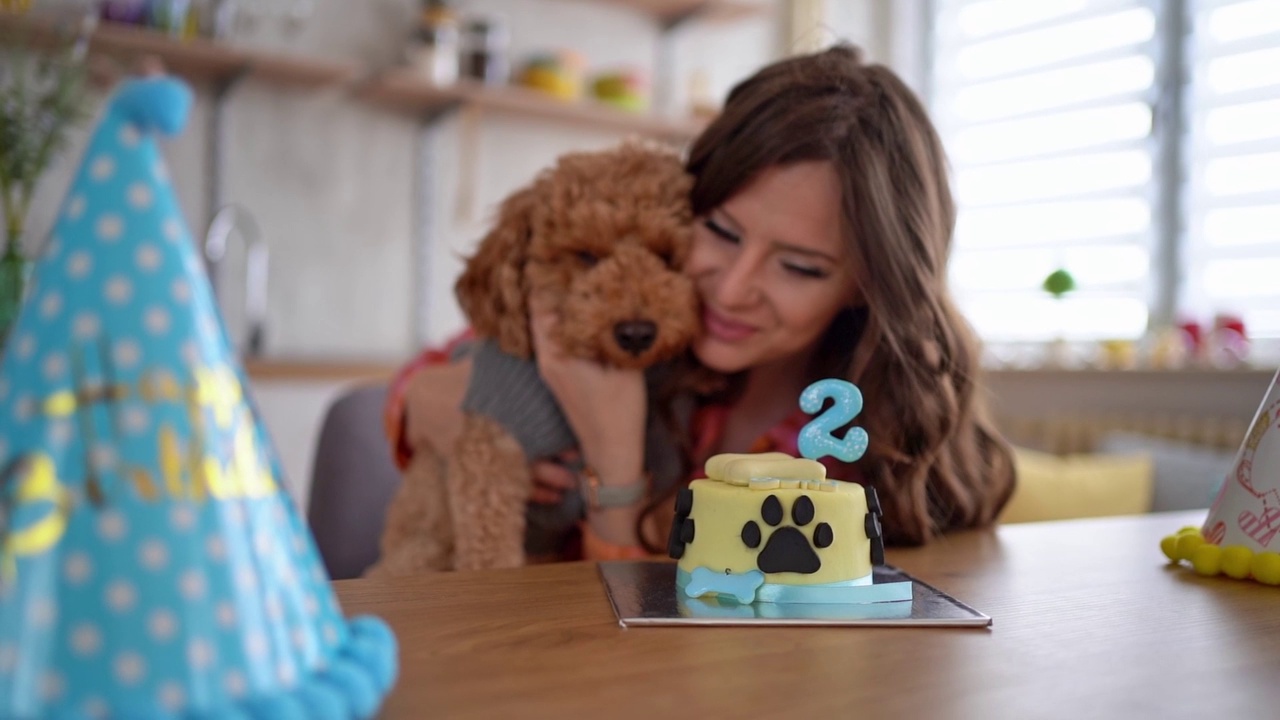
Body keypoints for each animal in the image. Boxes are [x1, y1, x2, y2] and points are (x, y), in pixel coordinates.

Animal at [371, 141, 701, 571]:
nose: (636, 333)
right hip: (422, 551)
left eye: (666, 256)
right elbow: (490, 552)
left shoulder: (662, 469)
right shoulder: (493, 450)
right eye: (586, 255)